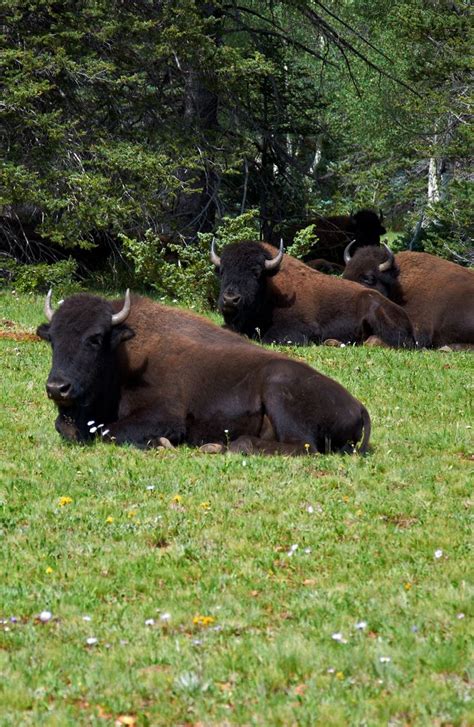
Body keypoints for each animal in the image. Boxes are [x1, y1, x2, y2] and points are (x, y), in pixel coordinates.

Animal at [36, 290, 370, 456]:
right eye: (52, 338)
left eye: (94, 338)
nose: (57, 388)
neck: (123, 355)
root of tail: (358, 406)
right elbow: (65, 426)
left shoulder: (165, 415)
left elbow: (108, 432)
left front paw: (161, 443)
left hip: (278, 388)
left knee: (302, 446)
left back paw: (233, 445)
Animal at [211, 240, 414, 348]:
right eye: (222, 271)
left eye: (256, 272)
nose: (230, 300)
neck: (271, 289)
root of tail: (405, 315)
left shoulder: (297, 331)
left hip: (375, 309)